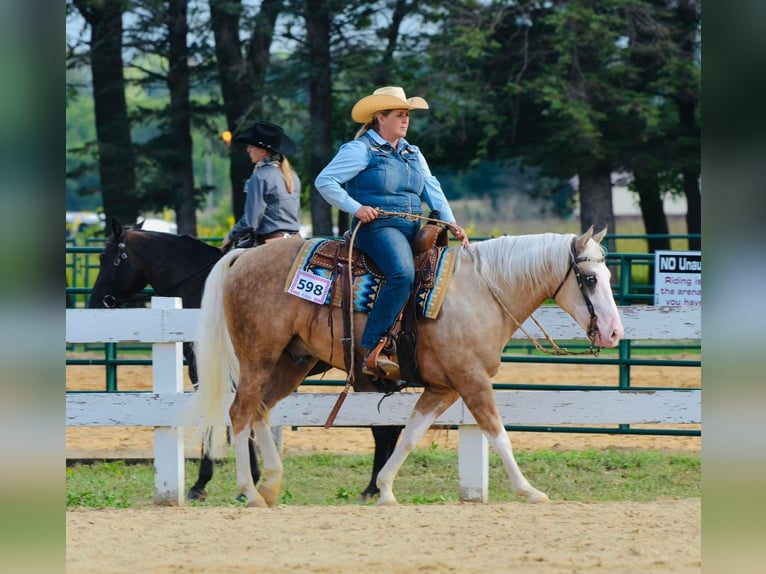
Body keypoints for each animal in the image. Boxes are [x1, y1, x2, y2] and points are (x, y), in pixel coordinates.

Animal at [88, 218, 402, 502]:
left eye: (106, 258)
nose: (94, 303)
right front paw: (252, 476)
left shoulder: (210, 374)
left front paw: (207, 483)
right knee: (389, 427)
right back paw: (377, 484)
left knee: (384, 429)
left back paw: (373, 487)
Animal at [190, 227, 624, 506]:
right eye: (589, 278)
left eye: (606, 274)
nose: (614, 332)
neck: (482, 292)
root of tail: (243, 256)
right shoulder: (472, 380)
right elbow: (498, 434)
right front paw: (529, 490)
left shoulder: (444, 387)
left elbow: (410, 435)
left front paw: (384, 490)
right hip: (258, 356)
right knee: (240, 412)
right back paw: (249, 491)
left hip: (293, 361)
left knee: (260, 409)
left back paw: (270, 486)